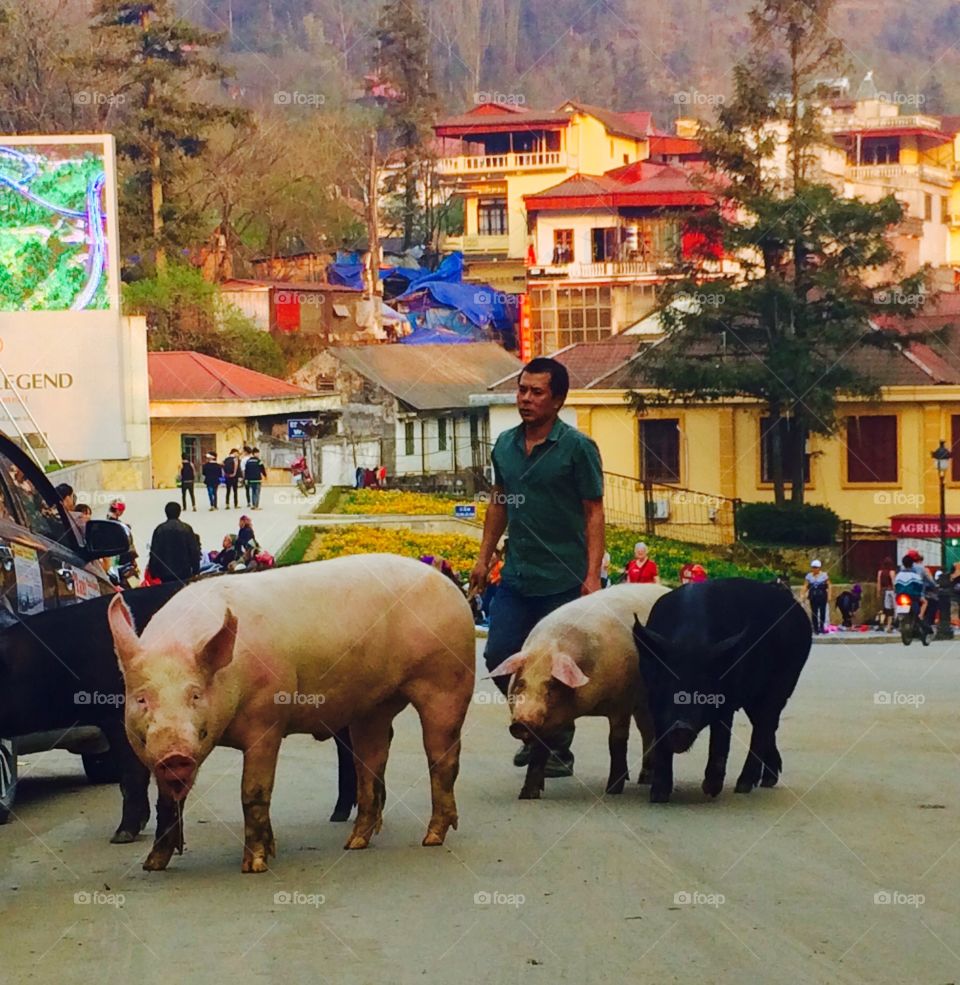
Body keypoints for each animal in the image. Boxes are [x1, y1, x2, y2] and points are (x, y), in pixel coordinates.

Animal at [108, 554, 475, 873]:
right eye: (142, 699)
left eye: (195, 694)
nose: (175, 755)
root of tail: (444, 579)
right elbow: (168, 802)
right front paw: (152, 865)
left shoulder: (267, 719)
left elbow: (254, 792)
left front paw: (254, 865)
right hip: (373, 706)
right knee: (371, 763)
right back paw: (354, 842)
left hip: (448, 679)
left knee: (443, 757)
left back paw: (431, 838)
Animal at [487, 583, 669, 800]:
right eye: (521, 683)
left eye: (551, 685)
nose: (521, 723)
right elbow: (539, 750)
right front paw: (527, 795)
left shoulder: (622, 701)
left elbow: (616, 742)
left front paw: (612, 791)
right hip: (642, 706)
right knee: (647, 730)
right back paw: (644, 778)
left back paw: (645, 780)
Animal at [632, 578, 812, 803]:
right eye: (666, 683)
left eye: (704, 688)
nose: (680, 726)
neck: (689, 642)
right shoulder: (652, 697)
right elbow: (661, 739)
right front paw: (658, 796)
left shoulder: (727, 698)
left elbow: (720, 739)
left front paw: (710, 790)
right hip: (754, 697)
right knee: (767, 725)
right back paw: (767, 781)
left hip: (785, 679)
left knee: (764, 726)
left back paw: (743, 786)